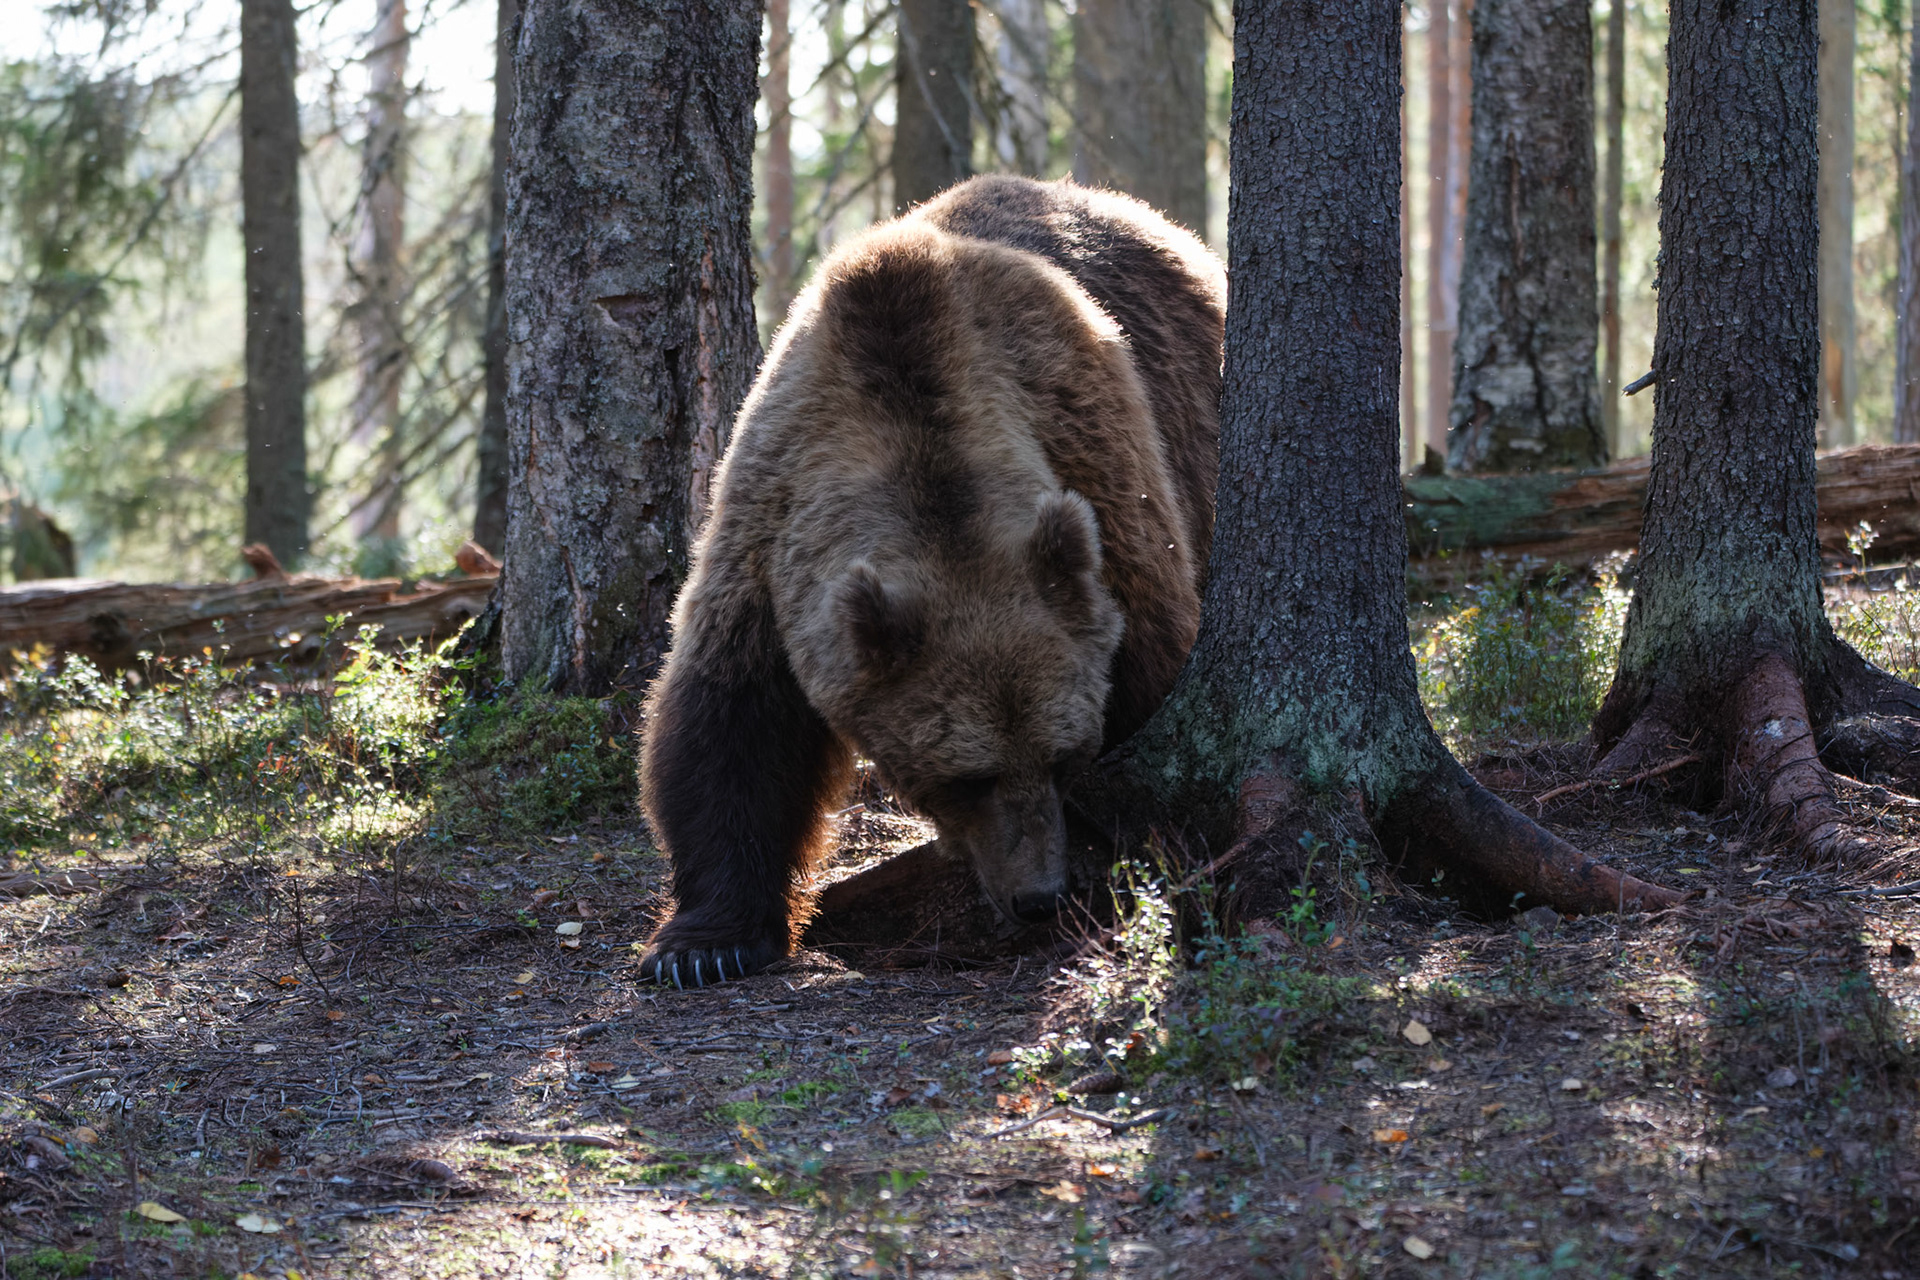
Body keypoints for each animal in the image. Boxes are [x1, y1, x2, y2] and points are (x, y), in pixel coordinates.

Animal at [637, 175, 1225, 987]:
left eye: (1063, 758)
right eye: (967, 776)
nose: (1039, 897)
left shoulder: (1102, 476)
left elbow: (1153, 669)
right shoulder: (768, 532)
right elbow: (730, 722)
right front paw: (704, 944)